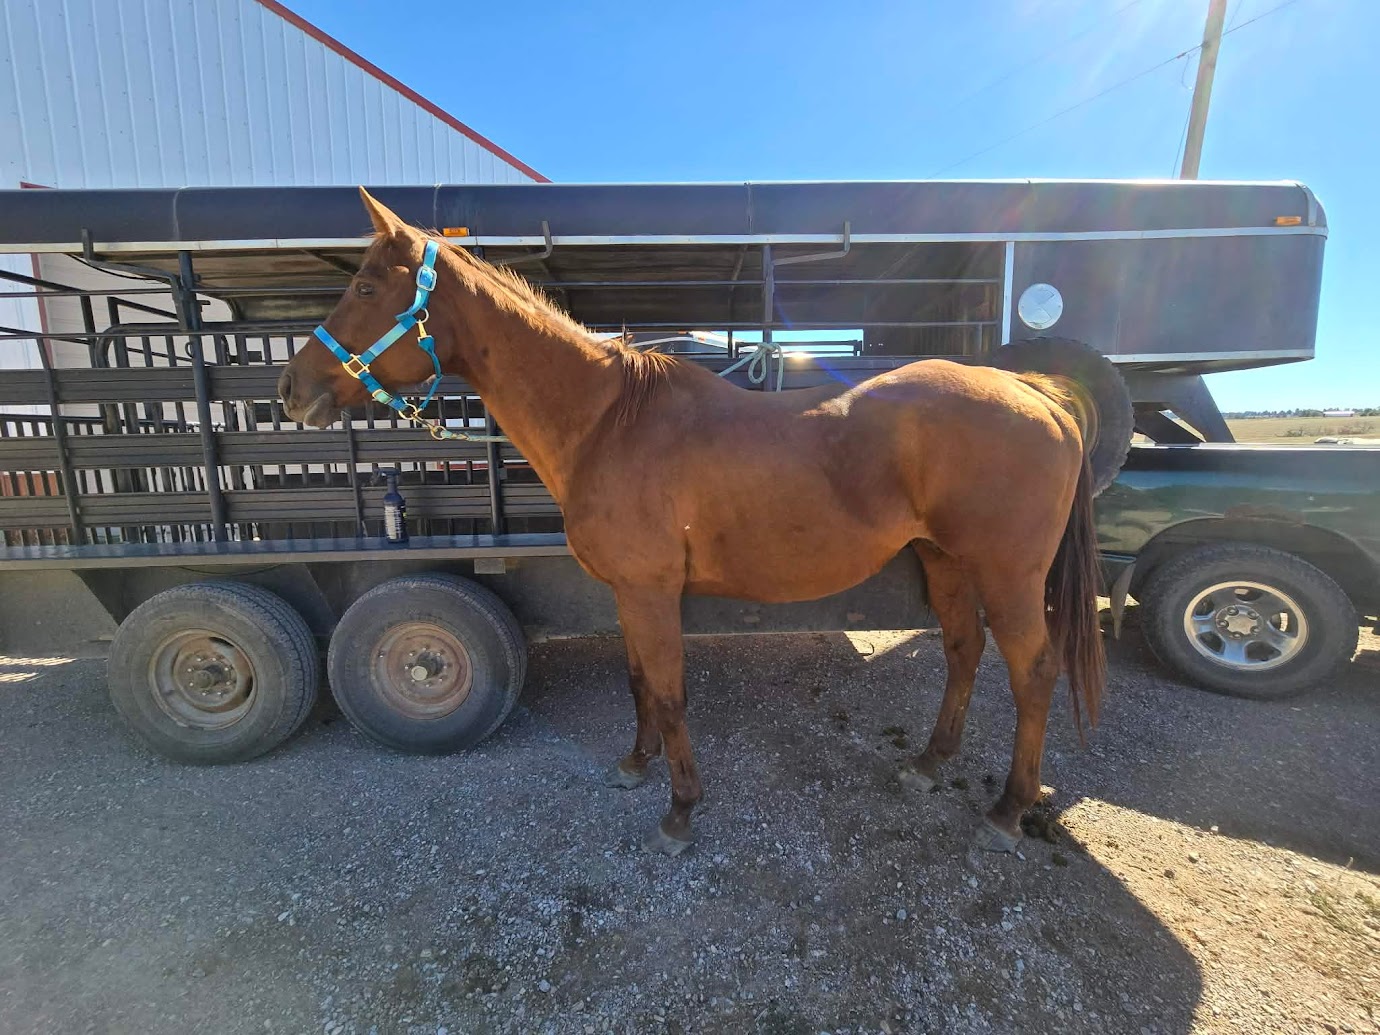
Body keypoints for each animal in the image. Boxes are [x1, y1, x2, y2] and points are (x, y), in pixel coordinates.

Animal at [278, 188, 1105, 857]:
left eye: (366, 285)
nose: (291, 389)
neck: (608, 422)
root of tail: (1037, 392)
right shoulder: (628, 591)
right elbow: (640, 681)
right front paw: (635, 764)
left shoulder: (651, 591)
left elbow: (671, 692)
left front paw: (680, 811)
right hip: (943, 558)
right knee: (963, 652)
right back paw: (931, 764)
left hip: (1008, 573)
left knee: (1032, 672)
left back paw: (1006, 812)